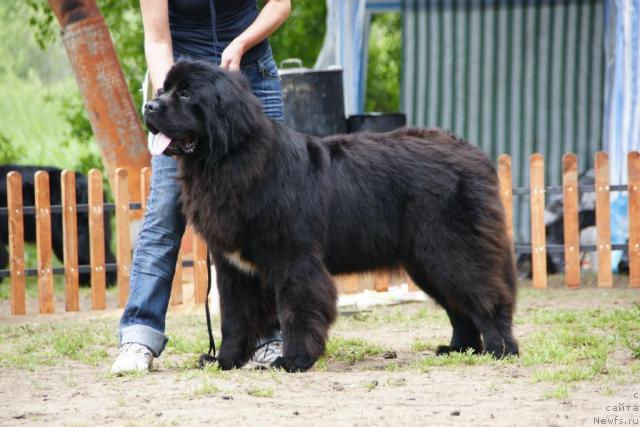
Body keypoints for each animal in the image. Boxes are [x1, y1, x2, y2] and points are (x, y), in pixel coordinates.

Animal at [142, 60, 516, 372]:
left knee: (486, 298)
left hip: (449, 252)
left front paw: (293, 360)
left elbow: (296, 312)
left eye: (186, 93)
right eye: (163, 90)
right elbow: (234, 318)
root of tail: (472, 152)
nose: (149, 106)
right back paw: (459, 349)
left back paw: (501, 350)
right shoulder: (233, 268)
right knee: (459, 307)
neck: (227, 161)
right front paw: (225, 360)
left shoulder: (294, 260)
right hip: (424, 263)